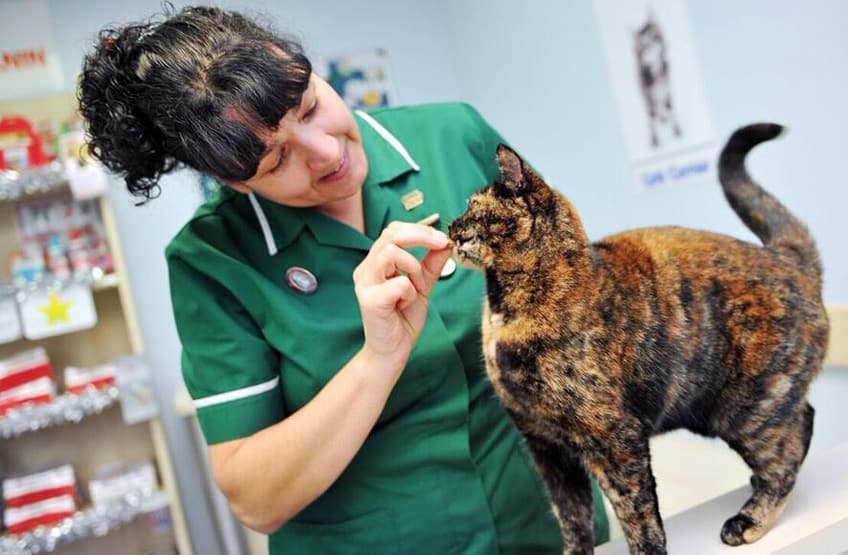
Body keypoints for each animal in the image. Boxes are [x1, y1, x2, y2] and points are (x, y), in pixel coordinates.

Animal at [450, 126, 828, 555]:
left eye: (474, 208)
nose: (450, 229)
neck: (505, 313)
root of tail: (789, 260)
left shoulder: (615, 438)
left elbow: (637, 513)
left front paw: (648, 549)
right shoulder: (547, 447)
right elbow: (571, 516)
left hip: (743, 410)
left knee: (787, 450)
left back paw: (749, 520)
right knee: (802, 421)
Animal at [636, 14, 684, 149]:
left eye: (653, 38)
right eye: (643, 47)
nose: (646, 64)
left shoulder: (667, 92)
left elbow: (671, 111)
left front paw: (677, 130)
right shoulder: (648, 98)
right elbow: (652, 119)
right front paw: (655, 140)